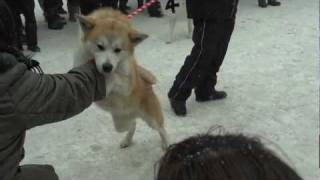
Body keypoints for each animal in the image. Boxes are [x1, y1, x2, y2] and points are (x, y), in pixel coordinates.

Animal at [74, 8, 170, 150]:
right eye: (100, 46)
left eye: (118, 50)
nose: (107, 67)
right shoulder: (80, 62)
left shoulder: (127, 84)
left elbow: (117, 77)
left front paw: (109, 81)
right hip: (120, 122)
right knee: (132, 124)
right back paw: (127, 140)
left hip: (151, 118)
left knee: (161, 128)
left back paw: (166, 142)